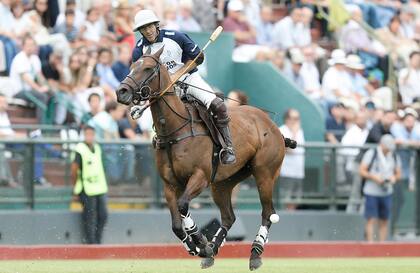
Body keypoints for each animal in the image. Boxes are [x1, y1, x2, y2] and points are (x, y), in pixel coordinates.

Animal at [115, 47, 292, 270]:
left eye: (147, 68)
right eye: (131, 66)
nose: (121, 92)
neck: (174, 130)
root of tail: (273, 125)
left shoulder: (200, 176)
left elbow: (183, 206)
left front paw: (199, 240)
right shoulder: (169, 184)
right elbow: (176, 224)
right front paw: (197, 247)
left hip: (265, 173)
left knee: (267, 213)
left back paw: (255, 253)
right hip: (223, 182)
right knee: (228, 216)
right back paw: (212, 251)